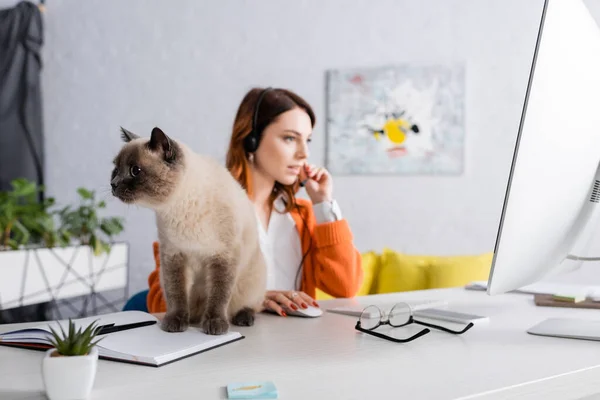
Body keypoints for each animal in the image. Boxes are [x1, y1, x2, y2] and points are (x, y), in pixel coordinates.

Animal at [112, 126, 268, 336]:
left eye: (135, 171)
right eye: (115, 170)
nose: (113, 183)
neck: (177, 207)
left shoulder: (223, 256)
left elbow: (219, 295)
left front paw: (215, 324)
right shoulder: (174, 256)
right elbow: (177, 294)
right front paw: (175, 323)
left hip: (252, 280)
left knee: (248, 305)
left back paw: (242, 318)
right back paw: (193, 319)